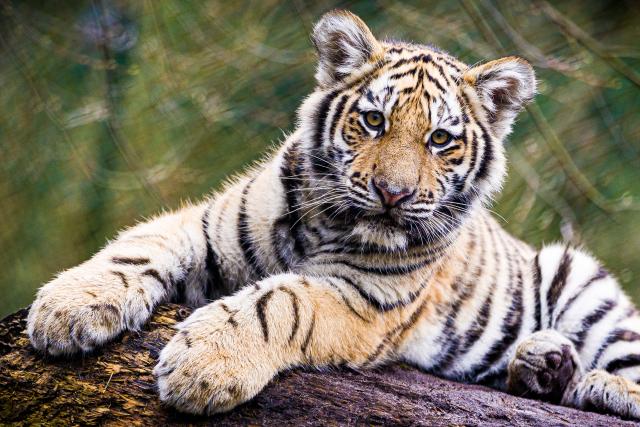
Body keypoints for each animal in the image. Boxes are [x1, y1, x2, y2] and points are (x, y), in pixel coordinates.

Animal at [26, 9, 640, 418]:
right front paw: (65, 310)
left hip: (580, 280)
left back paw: (596, 384)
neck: (331, 221)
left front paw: (203, 366)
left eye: (440, 139)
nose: (393, 193)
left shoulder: (364, 298)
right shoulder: (206, 224)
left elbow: (278, 301)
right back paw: (544, 364)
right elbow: (137, 247)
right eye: (373, 121)